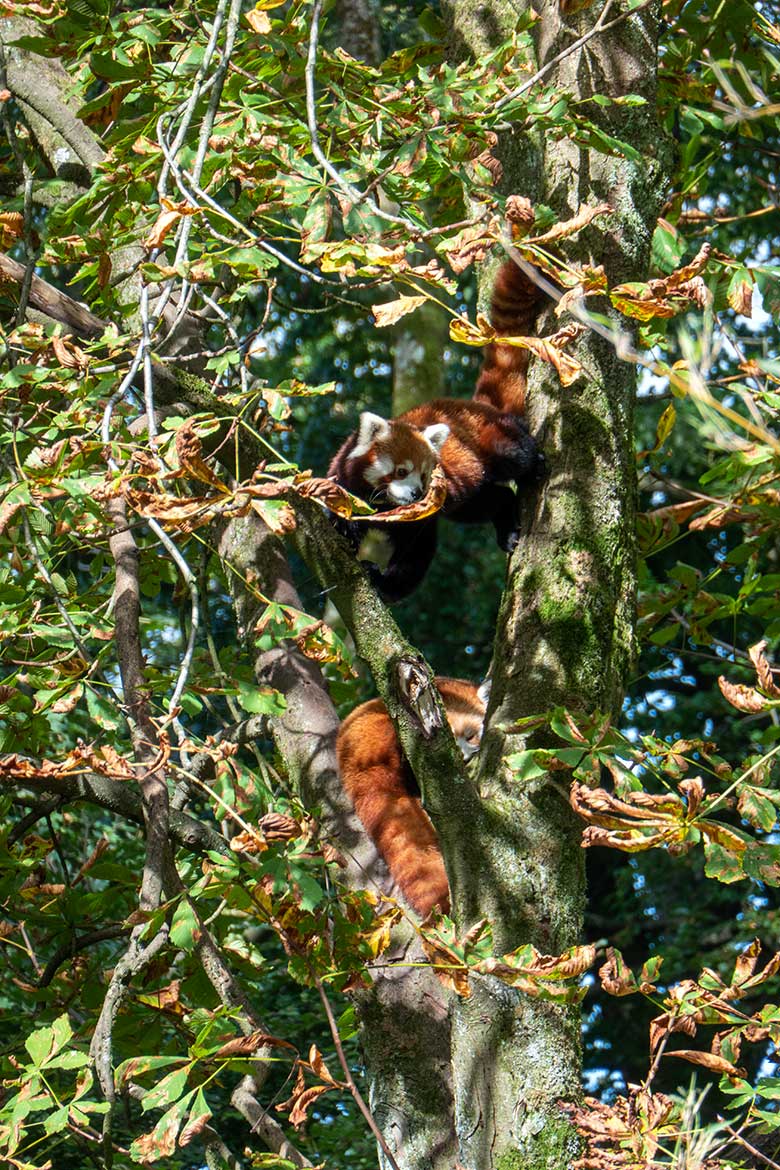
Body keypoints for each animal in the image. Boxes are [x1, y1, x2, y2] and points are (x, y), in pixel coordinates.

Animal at [327, 257, 547, 603]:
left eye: (424, 474)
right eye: (401, 471)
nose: (417, 493)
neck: (384, 505)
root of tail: (477, 406)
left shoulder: (417, 519)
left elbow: (415, 553)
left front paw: (385, 583)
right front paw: (344, 529)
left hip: (492, 441)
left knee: (516, 456)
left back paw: (535, 464)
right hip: (464, 493)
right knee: (488, 499)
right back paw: (508, 527)